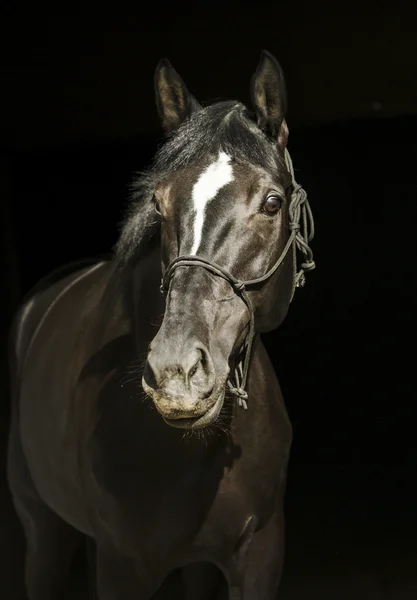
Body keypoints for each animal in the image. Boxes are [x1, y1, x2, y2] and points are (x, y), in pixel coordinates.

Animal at [6, 52, 314, 600]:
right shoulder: (122, 567)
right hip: (42, 530)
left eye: (272, 203)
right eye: (158, 204)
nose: (176, 373)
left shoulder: (261, 556)